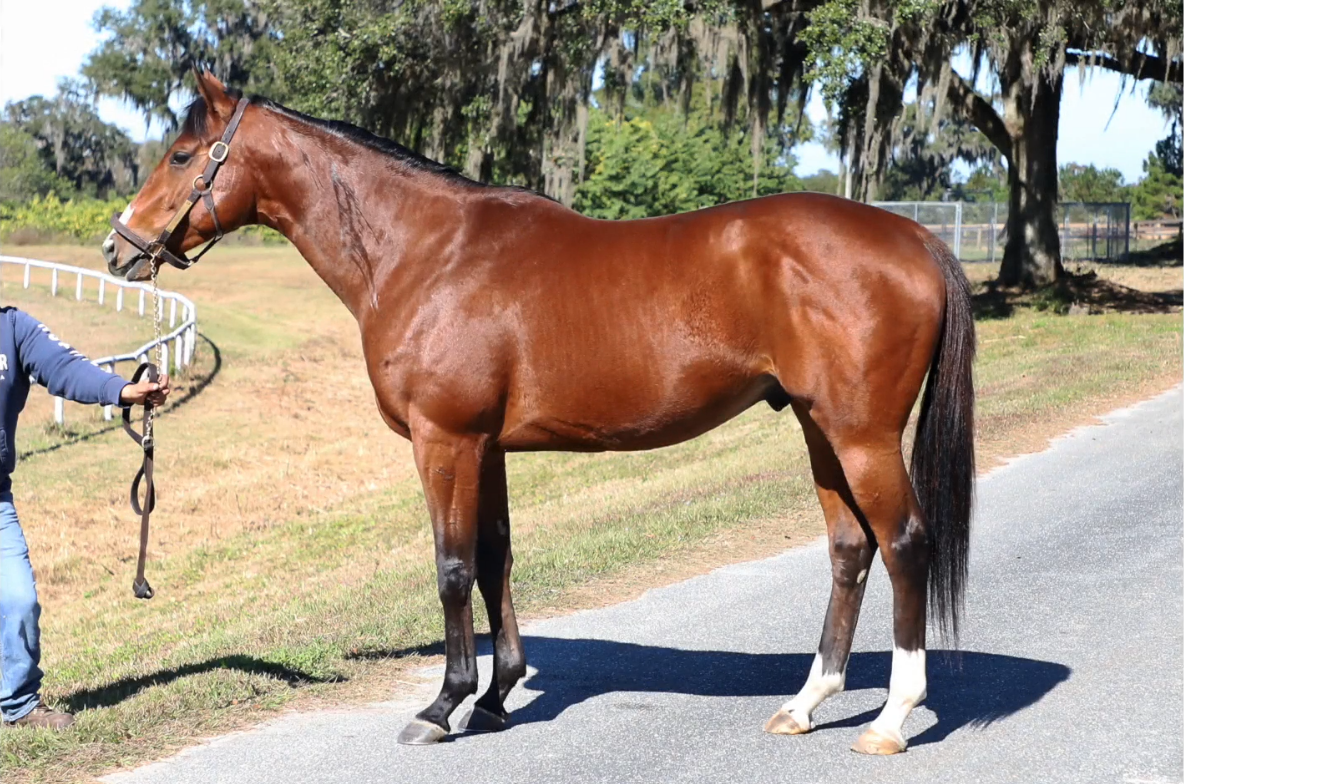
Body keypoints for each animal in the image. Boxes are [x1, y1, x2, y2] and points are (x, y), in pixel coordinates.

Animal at [104, 70, 975, 757]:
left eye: (181, 155)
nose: (119, 248)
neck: (429, 253)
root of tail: (917, 240)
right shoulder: (486, 447)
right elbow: (496, 558)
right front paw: (496, 696)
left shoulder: (445, 441)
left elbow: (453, 567)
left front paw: (442, 704)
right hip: (818, 427)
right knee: (849, 547)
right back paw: (804, 704)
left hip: (860, 436)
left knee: (904, 543)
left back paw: (891, 718)